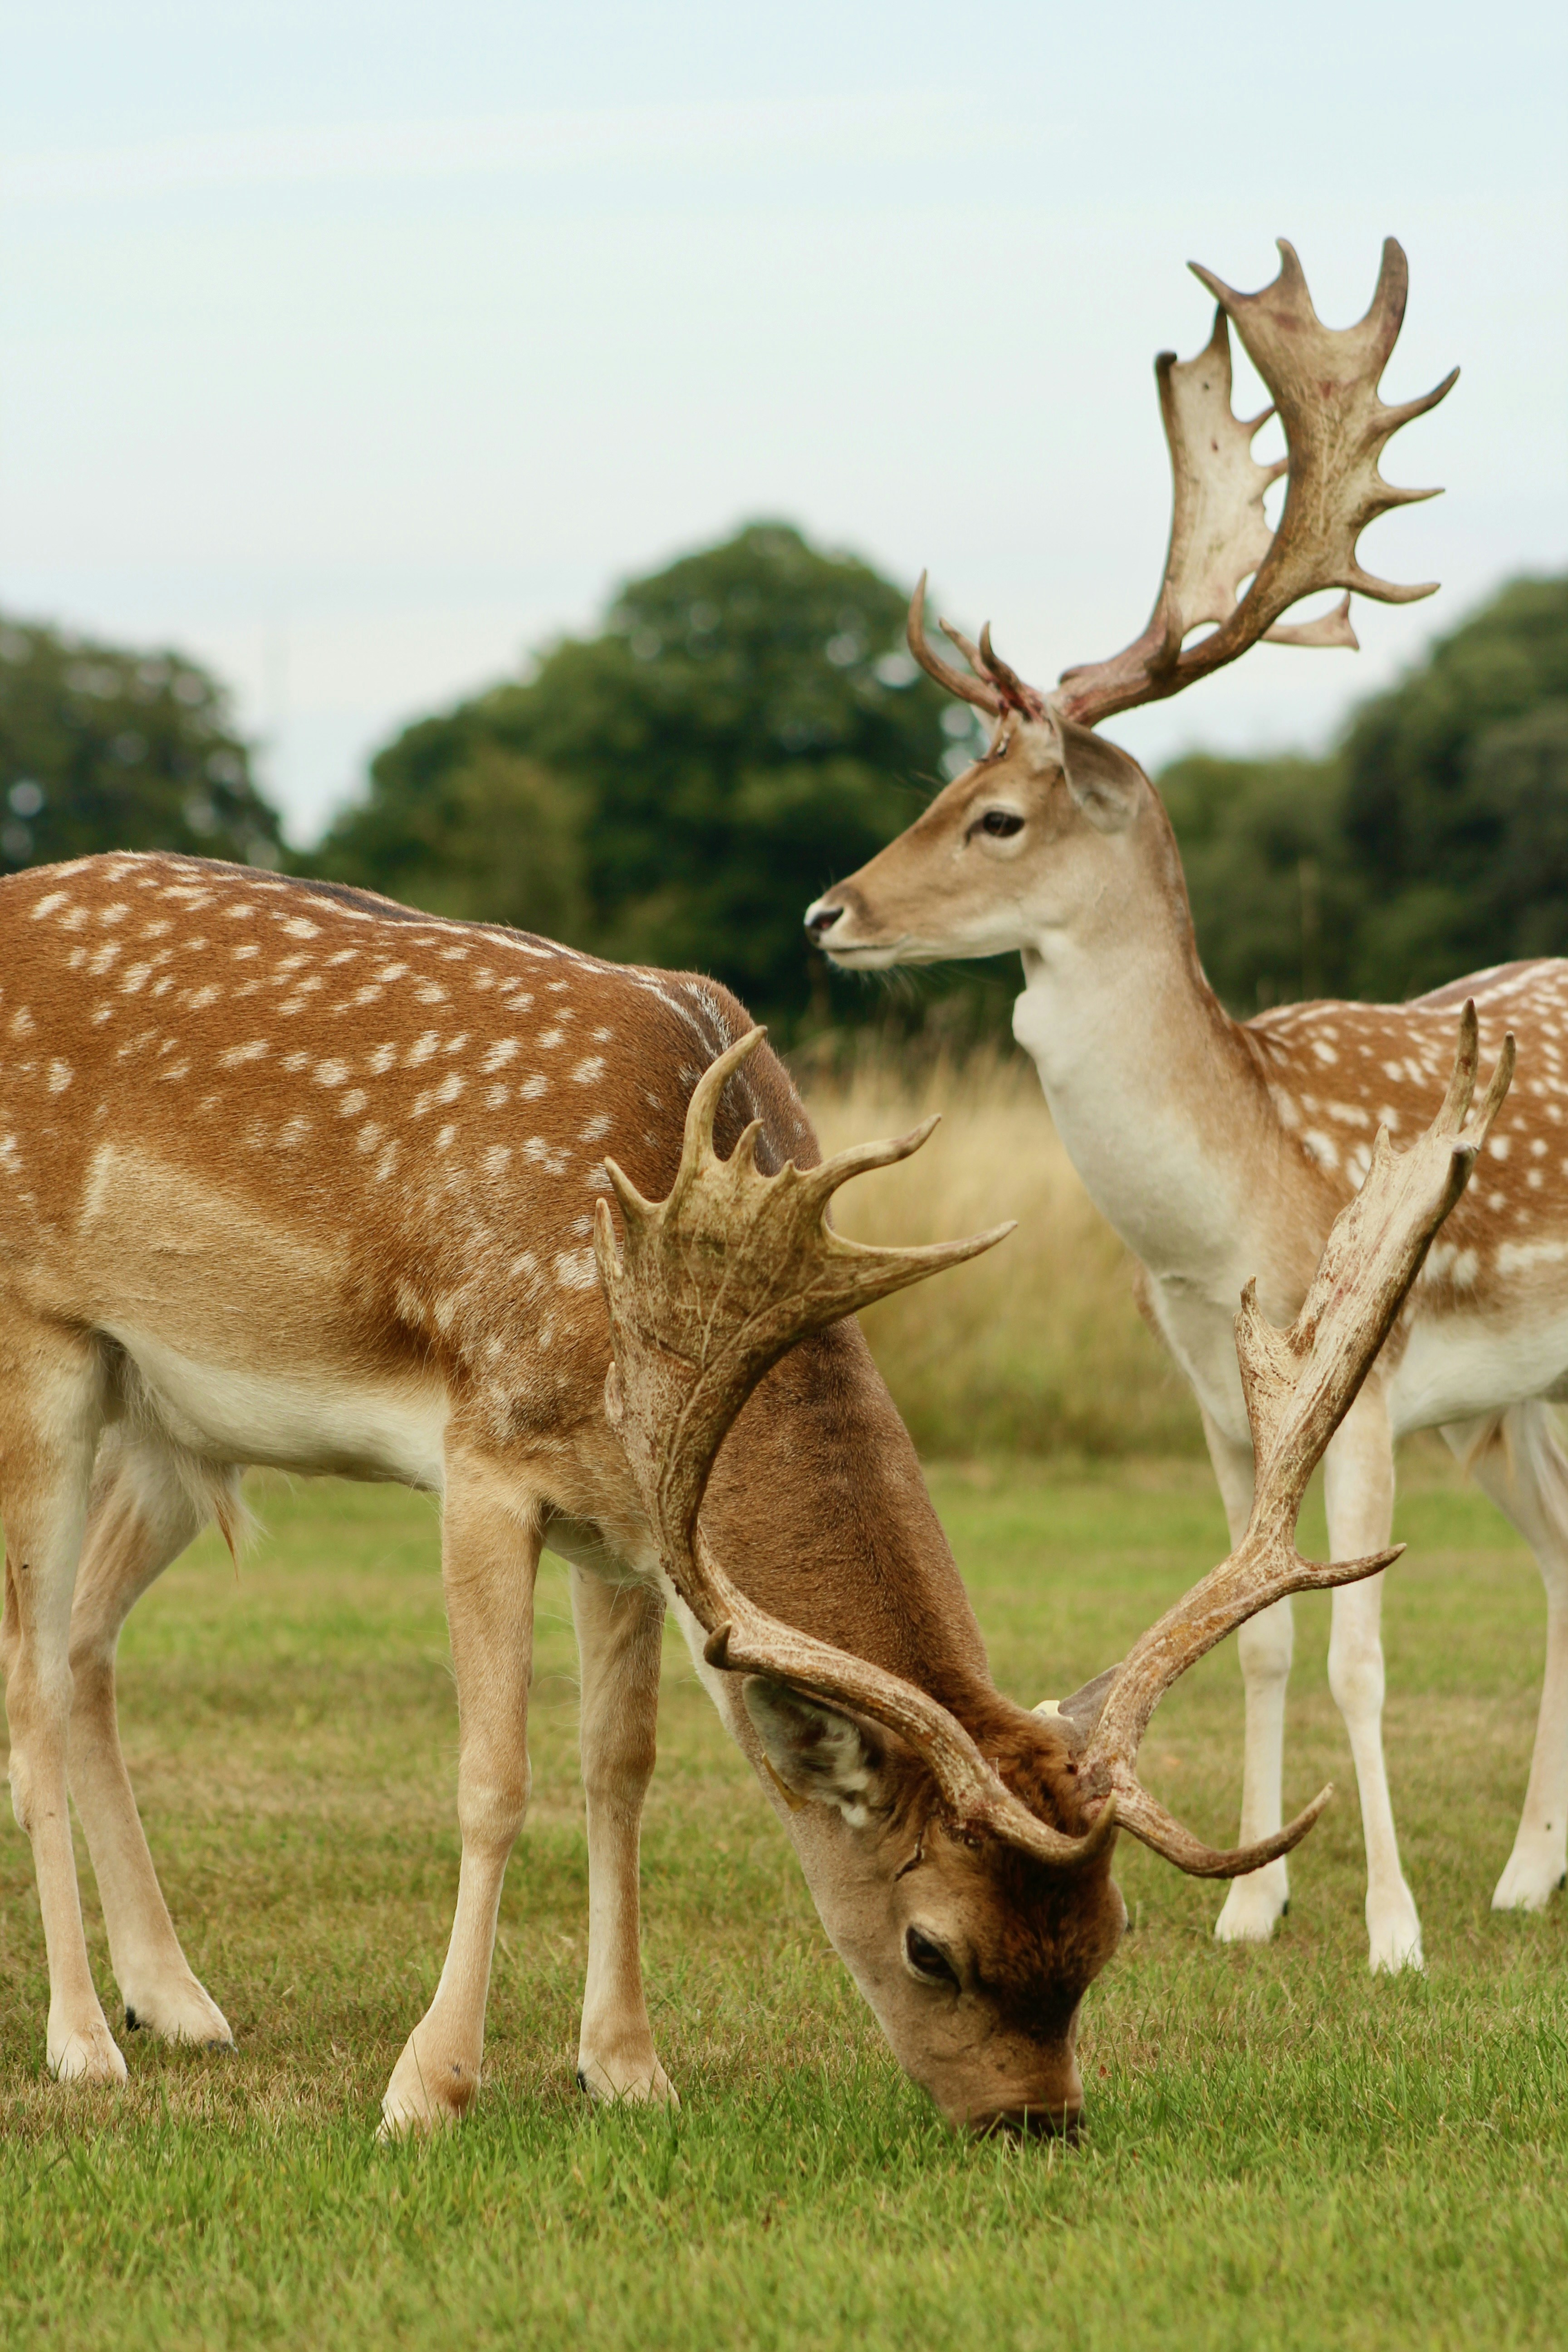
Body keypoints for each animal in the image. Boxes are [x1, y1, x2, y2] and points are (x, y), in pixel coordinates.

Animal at [0, 851, 1501, 2133]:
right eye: (933, 1948)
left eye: (1108, 1939)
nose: (1041, 2124)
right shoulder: (488, 1446)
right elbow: (494, 1776)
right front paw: (429, 2086)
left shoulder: (625, 1521)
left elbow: (620, 1769)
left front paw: (625, 2064)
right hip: (48, 1352)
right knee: (31, 1673)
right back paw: (83, 2040)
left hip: (173, 1421)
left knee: (81, 1649)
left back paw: (177, 2001)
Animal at [804, 235, 1567, 1973]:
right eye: (942, 787)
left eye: (998, 816)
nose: (827, 913)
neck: (1222, 1226)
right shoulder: (1221, 1406)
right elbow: (1261, 1645)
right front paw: (1253, 1905)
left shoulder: (1364, 1382)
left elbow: (1355, 1654)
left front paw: (1391, 1934)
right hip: (1513, 1406)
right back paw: (1527, 1873)